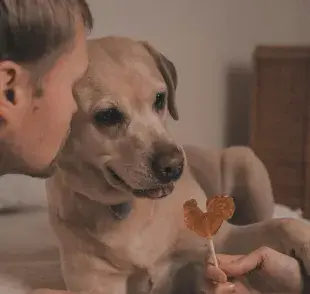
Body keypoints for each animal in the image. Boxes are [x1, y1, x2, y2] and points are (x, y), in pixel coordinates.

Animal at [46, 37, 310, 294]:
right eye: (107, 116)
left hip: (248, 165)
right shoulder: (97, 283)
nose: (174, 166)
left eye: (160, 99)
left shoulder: (223, 239)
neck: (131, 210)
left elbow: (284, 225)